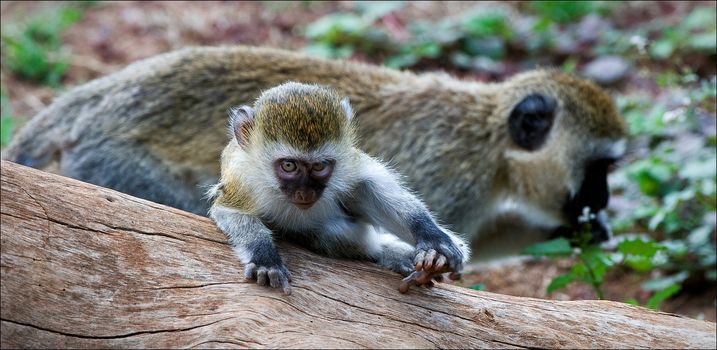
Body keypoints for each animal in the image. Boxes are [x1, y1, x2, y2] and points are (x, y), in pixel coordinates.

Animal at [207, 80, 470, 294]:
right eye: (289, 166)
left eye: (319, 166)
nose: (305, 192)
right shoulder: (241, 179)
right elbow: (228, 211)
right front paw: (265, 256)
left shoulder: (349, 162)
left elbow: (371, 184)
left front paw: (434, 239)